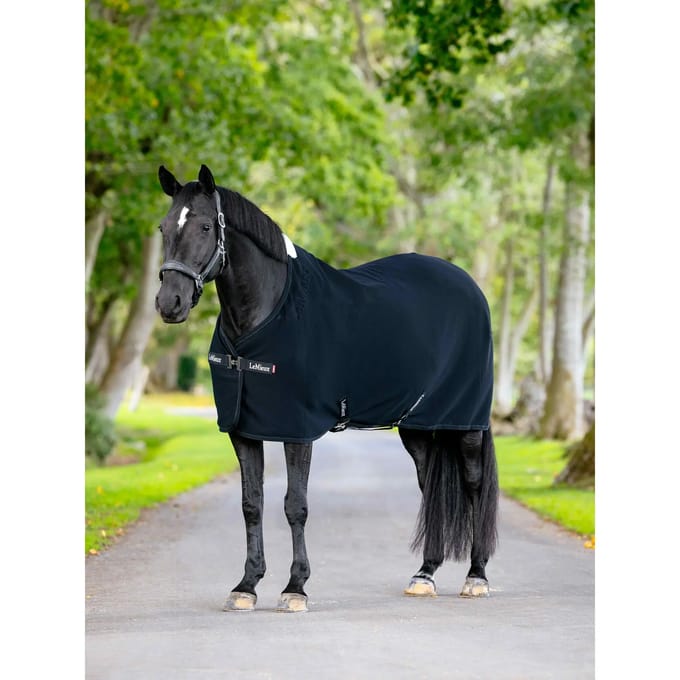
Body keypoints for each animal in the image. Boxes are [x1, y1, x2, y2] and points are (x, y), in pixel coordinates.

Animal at [155, 164, 499, 613]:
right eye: (163, 227)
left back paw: (476, 576)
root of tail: (468, 285)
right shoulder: (242, 430)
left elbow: (295, 505)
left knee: (474, 486)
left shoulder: (296, 429)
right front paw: (246, 585)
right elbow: (252, 504)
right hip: (418, 427)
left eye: (205, 226)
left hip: (467, 424)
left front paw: (295, 588)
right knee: (429, 487)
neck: (265, 316)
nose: (170, 303)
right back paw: (424, 574)